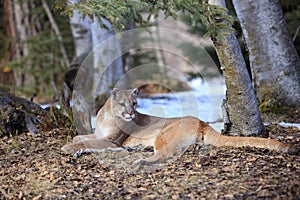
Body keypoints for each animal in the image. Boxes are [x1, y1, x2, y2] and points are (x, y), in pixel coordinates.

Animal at [61, 88, 298, 163]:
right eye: (123, 104)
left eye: (134, 103)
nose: (131, 113)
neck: (107, 116)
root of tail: (201, 121)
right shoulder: (99, 135)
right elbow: (79, 137)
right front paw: (73, 146)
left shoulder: (112, 140)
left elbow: (84, 142)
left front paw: (68, 149)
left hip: (163, 134)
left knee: (163, 155)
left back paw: (140, 160)